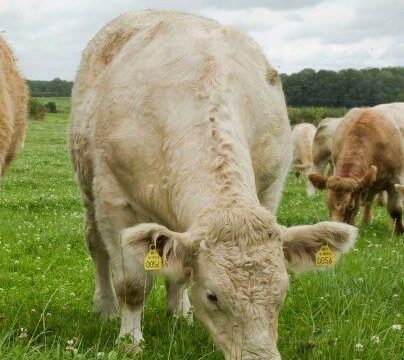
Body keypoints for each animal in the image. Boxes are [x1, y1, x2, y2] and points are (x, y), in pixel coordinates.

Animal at [68, 9, 356, 358]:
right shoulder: (114, 199)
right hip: (88, 189)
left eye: (282, 293)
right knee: (96, 246)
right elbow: (132, 283)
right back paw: (106, 307)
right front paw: (129, 341)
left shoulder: (269, 191)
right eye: (212, 296)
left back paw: (178, 311)